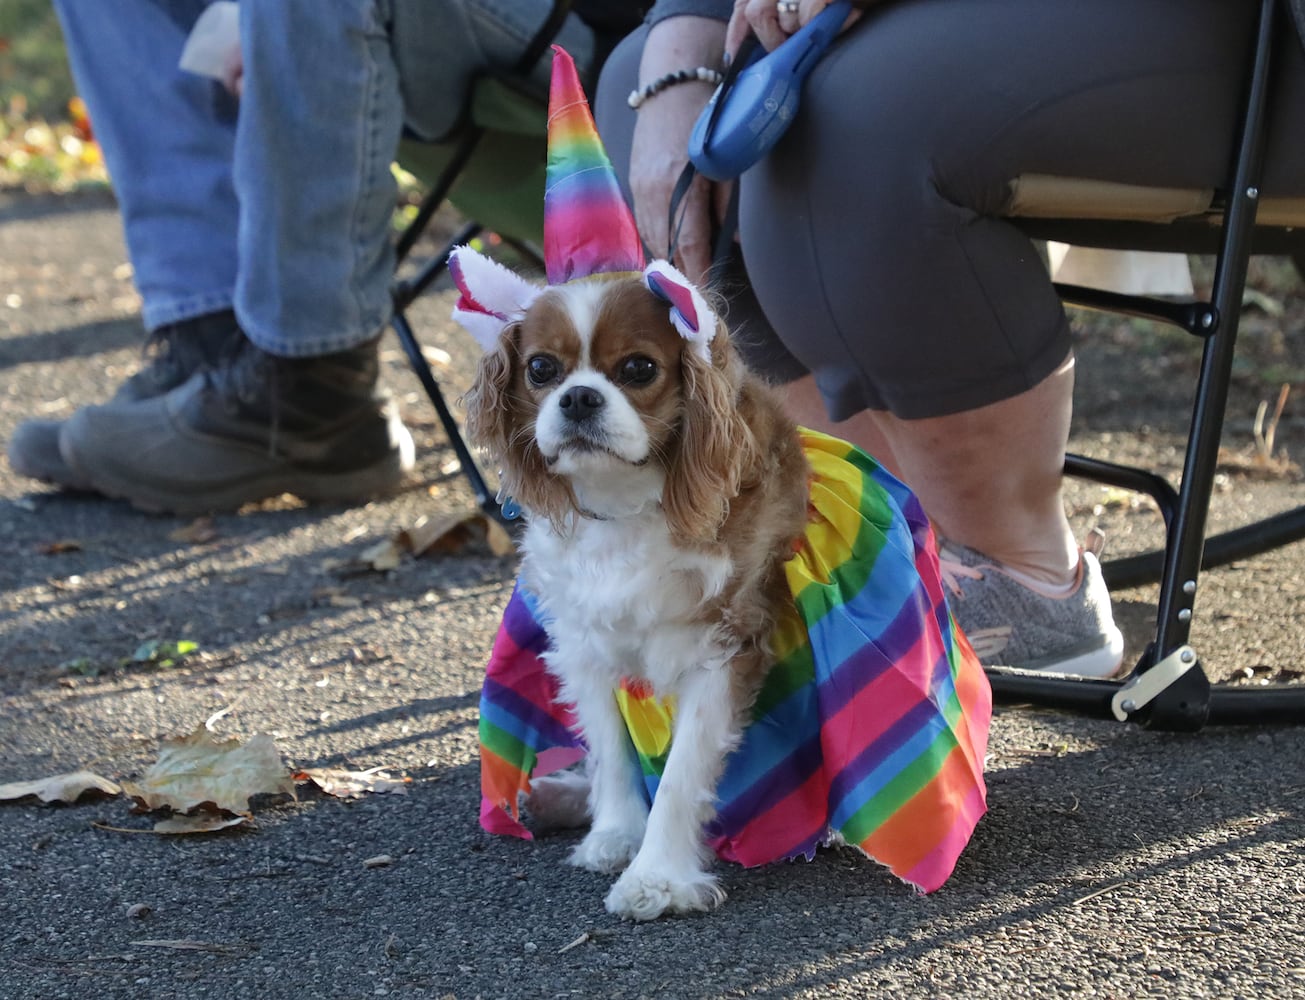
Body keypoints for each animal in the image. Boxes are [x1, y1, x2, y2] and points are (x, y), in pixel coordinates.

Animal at [454, 250, 809, 924]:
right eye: (541, 369)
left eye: (639, 368)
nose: (578, 397)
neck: (626, 507)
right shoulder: (584, 643)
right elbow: (611, 751)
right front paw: (615, 833)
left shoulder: (724, 649)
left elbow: (679, 776)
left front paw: (657, 878)